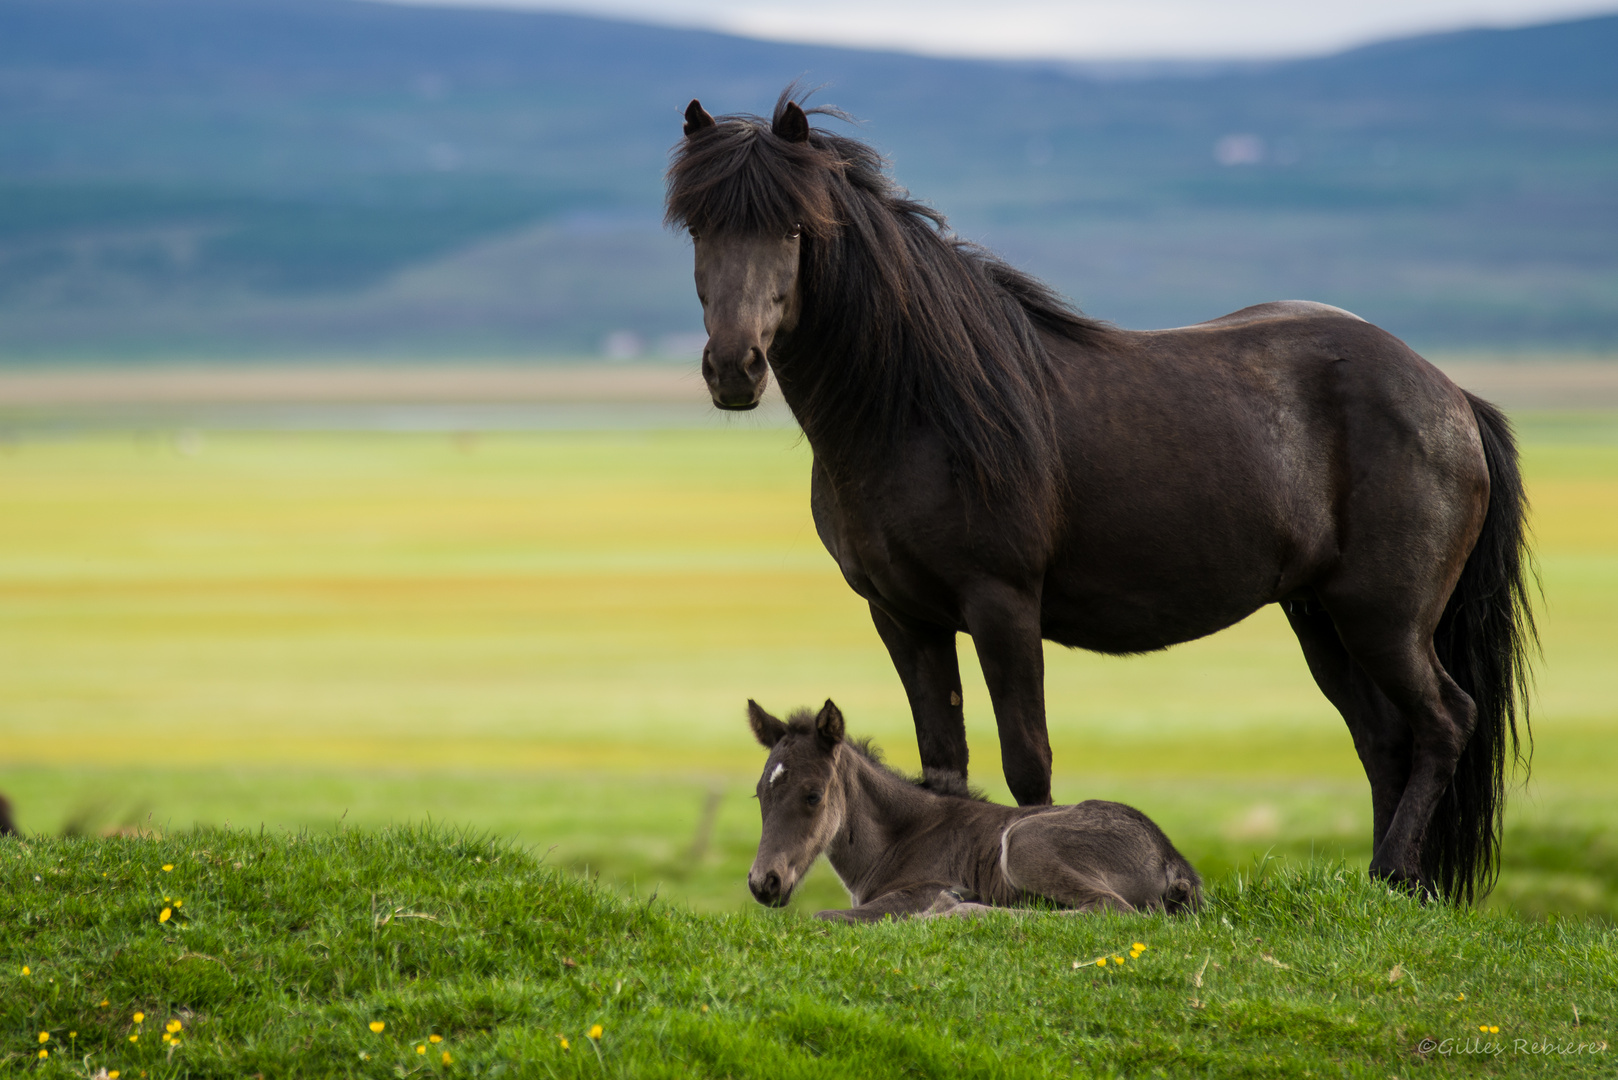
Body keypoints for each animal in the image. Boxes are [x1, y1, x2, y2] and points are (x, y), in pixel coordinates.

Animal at [747, 702, 1203, 919]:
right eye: (759, 795)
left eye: (813, 795)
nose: (763, 882)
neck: (899, 838)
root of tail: (1171, 859)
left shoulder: (918, 889)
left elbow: (823, 915)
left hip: (1024, 842)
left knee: (1110, 908)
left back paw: (955, 908)